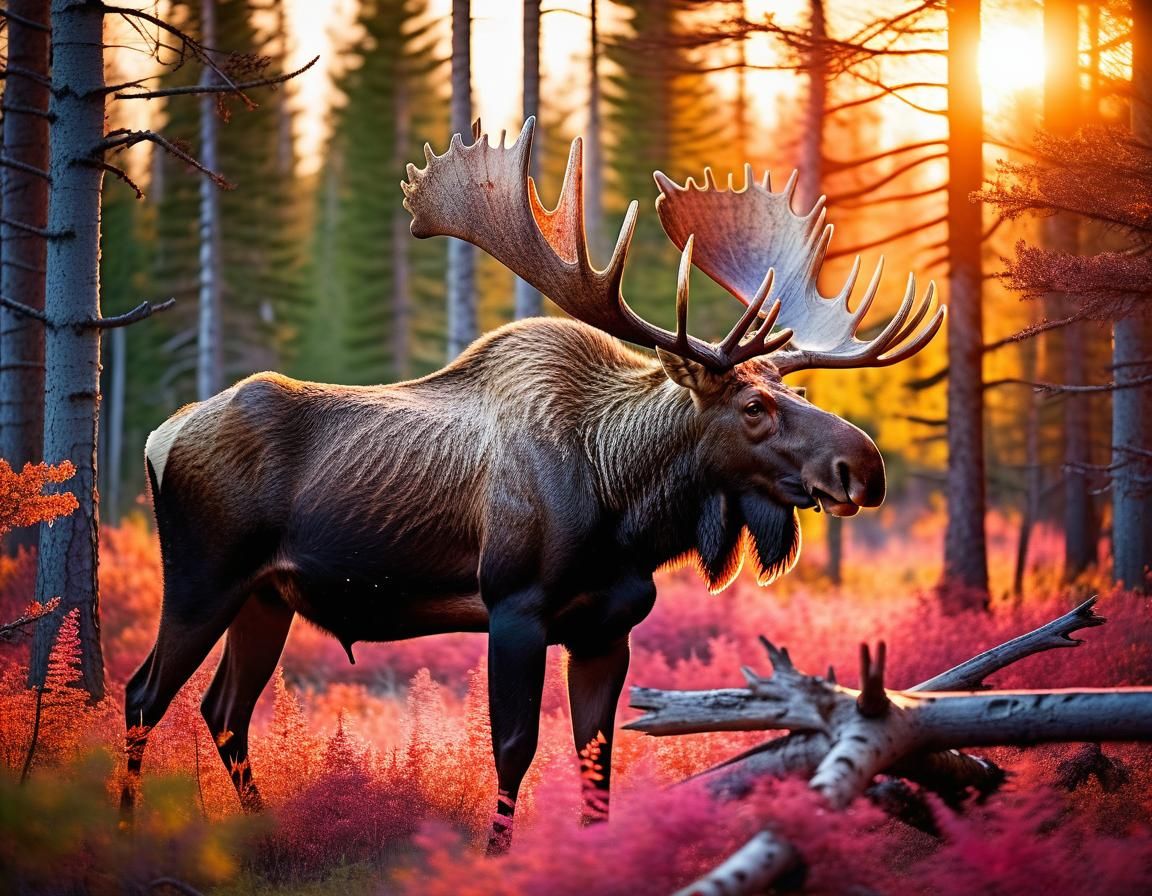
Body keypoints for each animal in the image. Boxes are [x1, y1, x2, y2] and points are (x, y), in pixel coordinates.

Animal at [120, 118, 944, 854]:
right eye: (753, 408)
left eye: (790, 392)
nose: (864, 466)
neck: (626, 511)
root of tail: (160, 435)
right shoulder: (514, 608)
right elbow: (514, 748)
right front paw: (495, 858)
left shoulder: (608, 629)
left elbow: (597, 758)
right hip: (202, 579)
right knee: (144, 694)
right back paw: (125, 827)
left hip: (267, 596)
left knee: (224, 710)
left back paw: (265, 835)